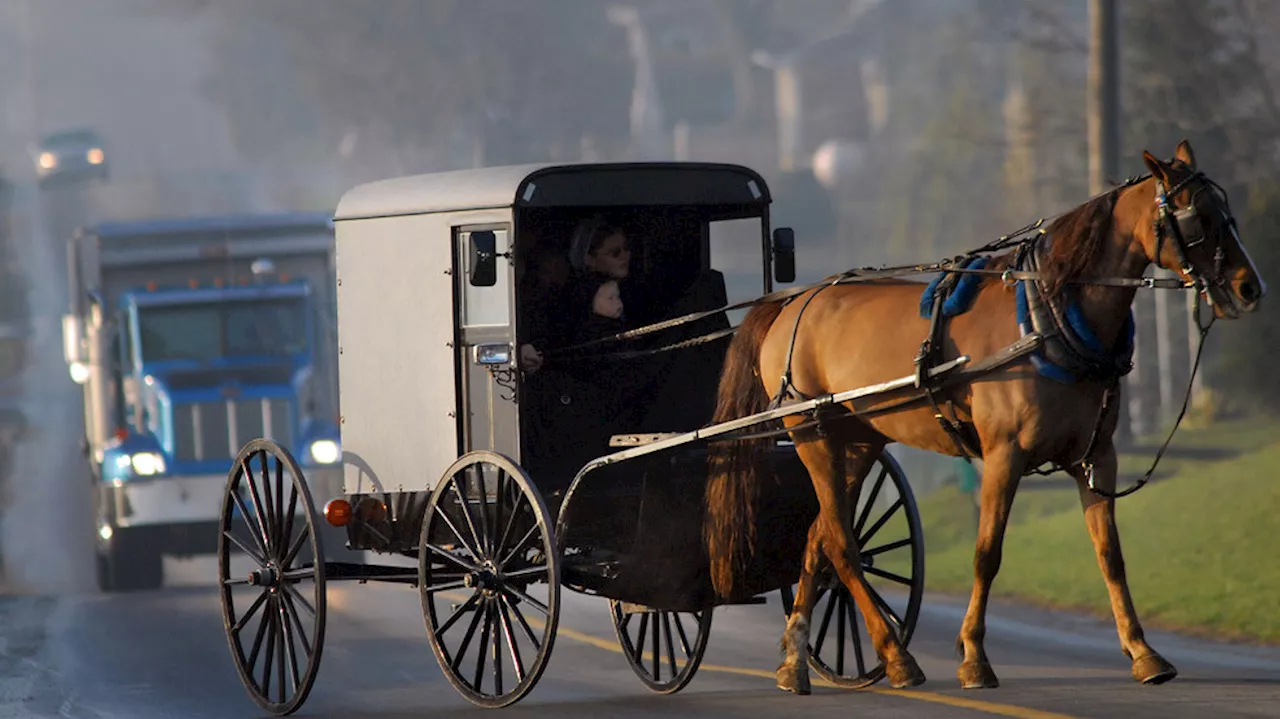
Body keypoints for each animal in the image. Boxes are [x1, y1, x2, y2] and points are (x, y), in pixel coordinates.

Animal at [706, 140, 1264, 695]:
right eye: (1198, 217)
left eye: (1226, 211)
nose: (1249, 287)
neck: (1047, 316)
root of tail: (793, 301)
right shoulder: (1003, 455)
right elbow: (987, 553)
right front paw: (974, 656)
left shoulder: (1096, 457)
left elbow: (1110, 555)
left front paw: (1144, 652)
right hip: (813, 437)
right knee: (841, 543)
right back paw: (896, 656)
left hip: (859, 440)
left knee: (818, 538)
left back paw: (796, 660)